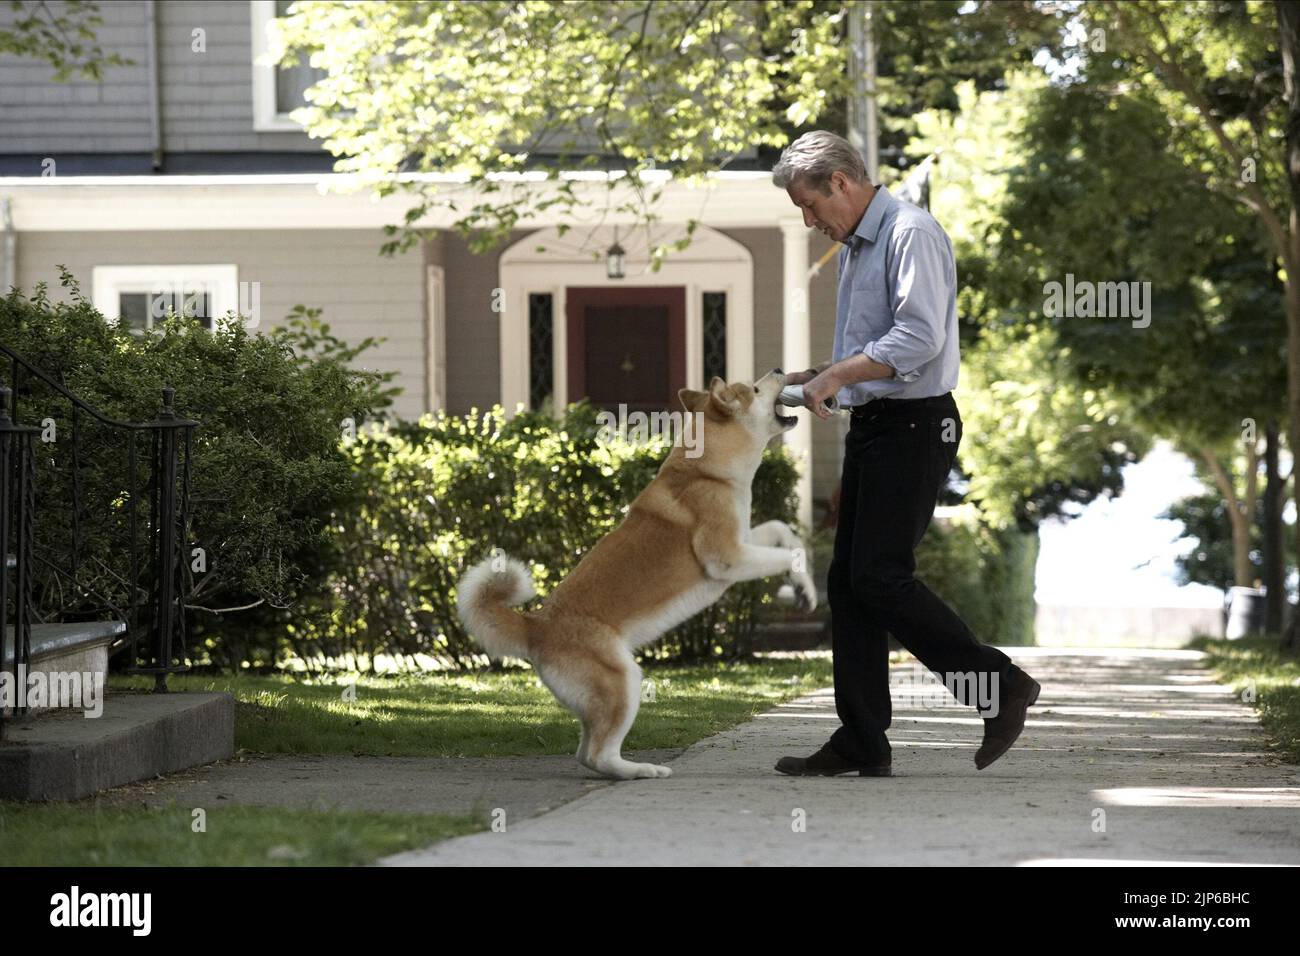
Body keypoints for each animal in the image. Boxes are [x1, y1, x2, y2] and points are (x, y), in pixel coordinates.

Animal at [457, 369, 816, 780]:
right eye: (755, 389)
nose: (779, 371)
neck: (708, 471)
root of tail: (535, 626)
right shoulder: (728, 557)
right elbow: (788, 553)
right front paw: (801, 583)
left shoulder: (744, 540)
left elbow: (781, 531)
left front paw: (804, 588)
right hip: (624, 681)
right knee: (599, 754)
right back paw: (643, 770)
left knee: (586, 752)